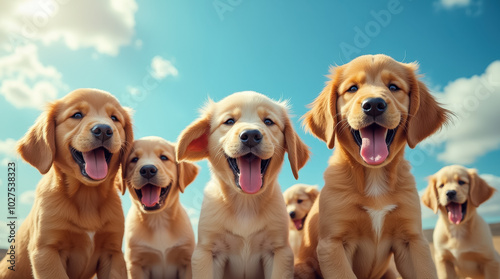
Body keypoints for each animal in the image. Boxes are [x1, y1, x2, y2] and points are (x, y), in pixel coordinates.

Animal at [0, 89, 133, 279]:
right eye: (77, 115)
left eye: (114, 118)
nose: (103, 130)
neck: (87, 196)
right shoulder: (46, 250)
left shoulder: (112, 253)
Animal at [122, 137, 198, 279]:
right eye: (134, 159)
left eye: (163, 157)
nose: (147, 170)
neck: (158, 220)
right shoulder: (135, 264)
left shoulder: (187, 261)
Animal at [176, 91, 308, 278]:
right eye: (229, 121)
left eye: (268, 121)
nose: (251, 135)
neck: (245, 203)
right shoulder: (206, 252)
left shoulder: (280, 251)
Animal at [294, 55, 452, 279]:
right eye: (352, 88)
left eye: (393, 86)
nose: (374, 104)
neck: (374, 176)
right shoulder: (333, 244)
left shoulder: (412, 240)